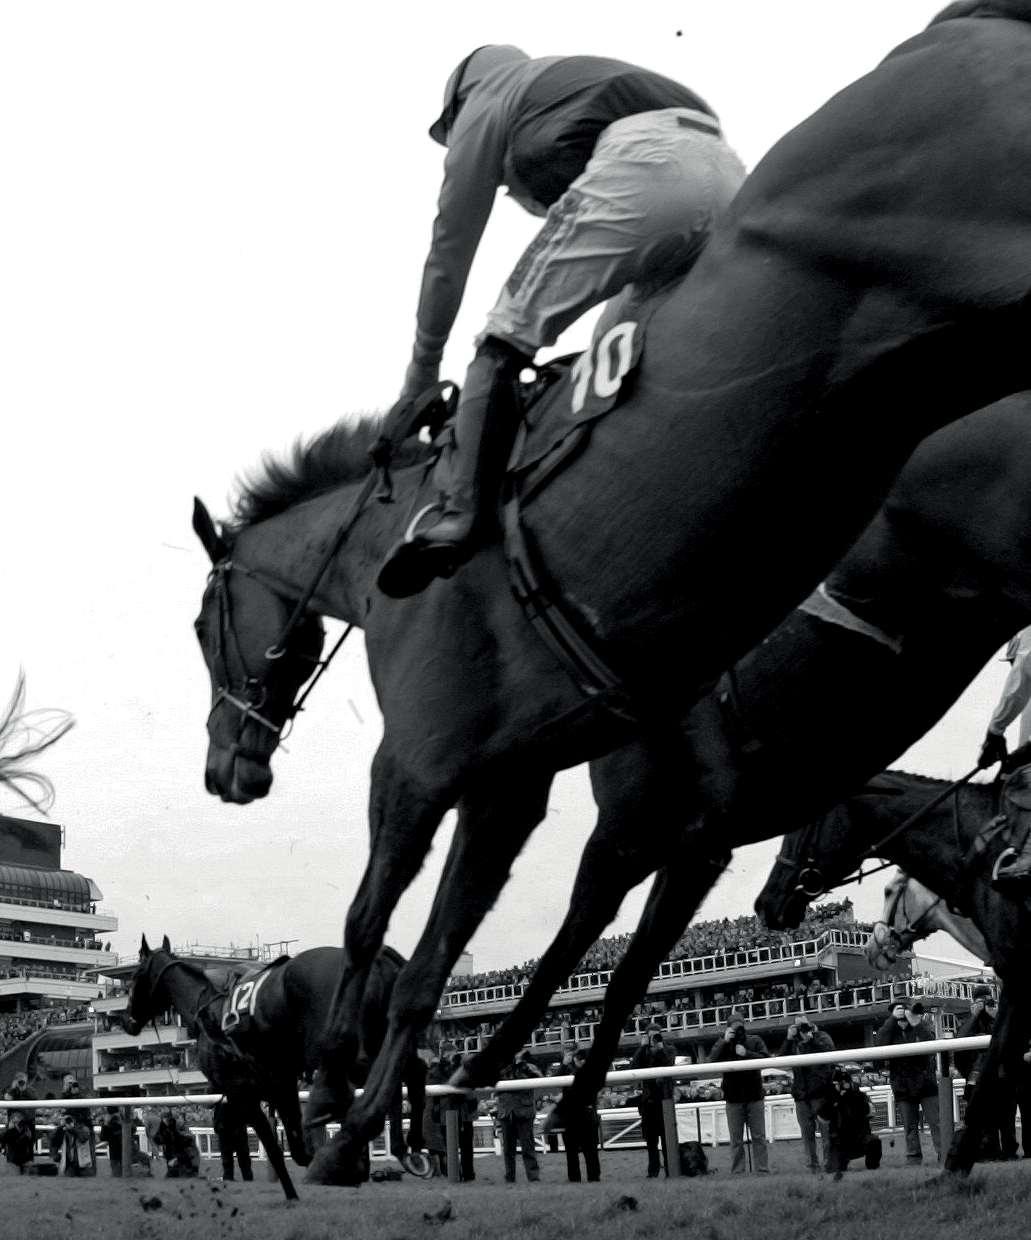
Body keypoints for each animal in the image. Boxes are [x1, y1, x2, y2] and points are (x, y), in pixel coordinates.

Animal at [124, 936, 428, 1198]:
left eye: (136, 976)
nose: (128, 1021)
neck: (208, 1011)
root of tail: (379, 959)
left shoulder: (242, 1092)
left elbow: (275, 1146)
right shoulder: (279, 1084)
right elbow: (294, 1145)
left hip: (349, 1054)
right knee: (411, 1071)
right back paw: (408, 1146)